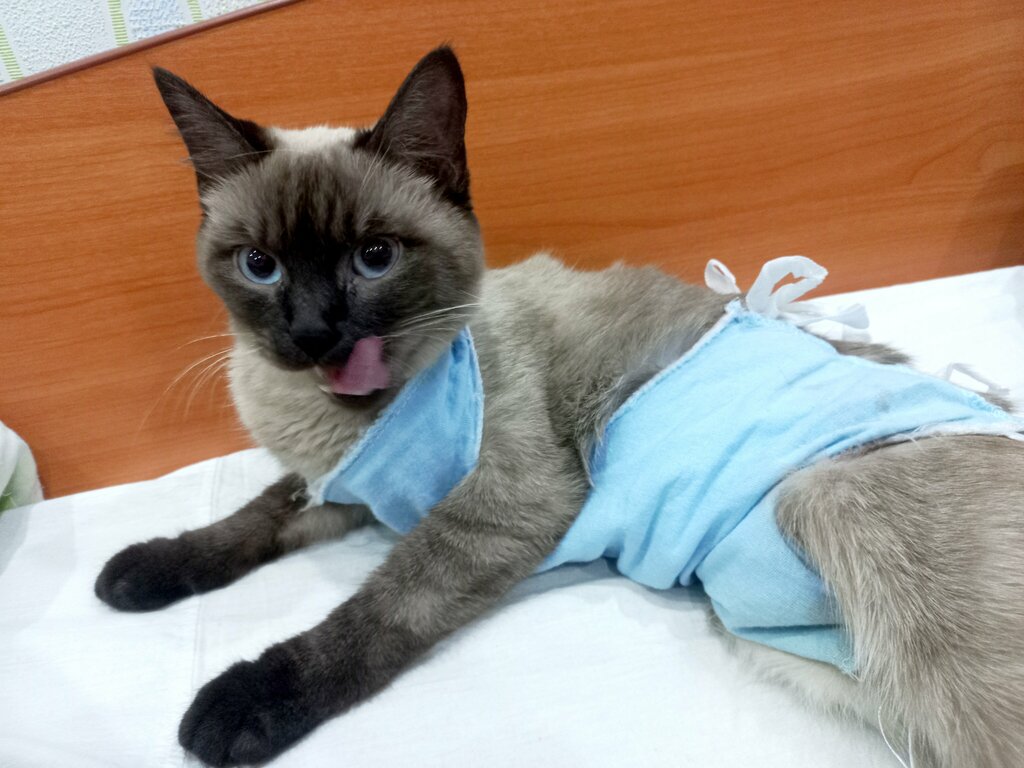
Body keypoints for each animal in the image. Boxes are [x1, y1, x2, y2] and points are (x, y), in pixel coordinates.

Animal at [94, 47, 1024, 768]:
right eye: (260, 266)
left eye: (375, 257)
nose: (314, 333)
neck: (343, 413)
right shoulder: (338, 483)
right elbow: (252, 519)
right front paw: (143, 572)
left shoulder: (498, 510)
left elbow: (378, 610)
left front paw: (239, 706)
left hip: (830, 504)